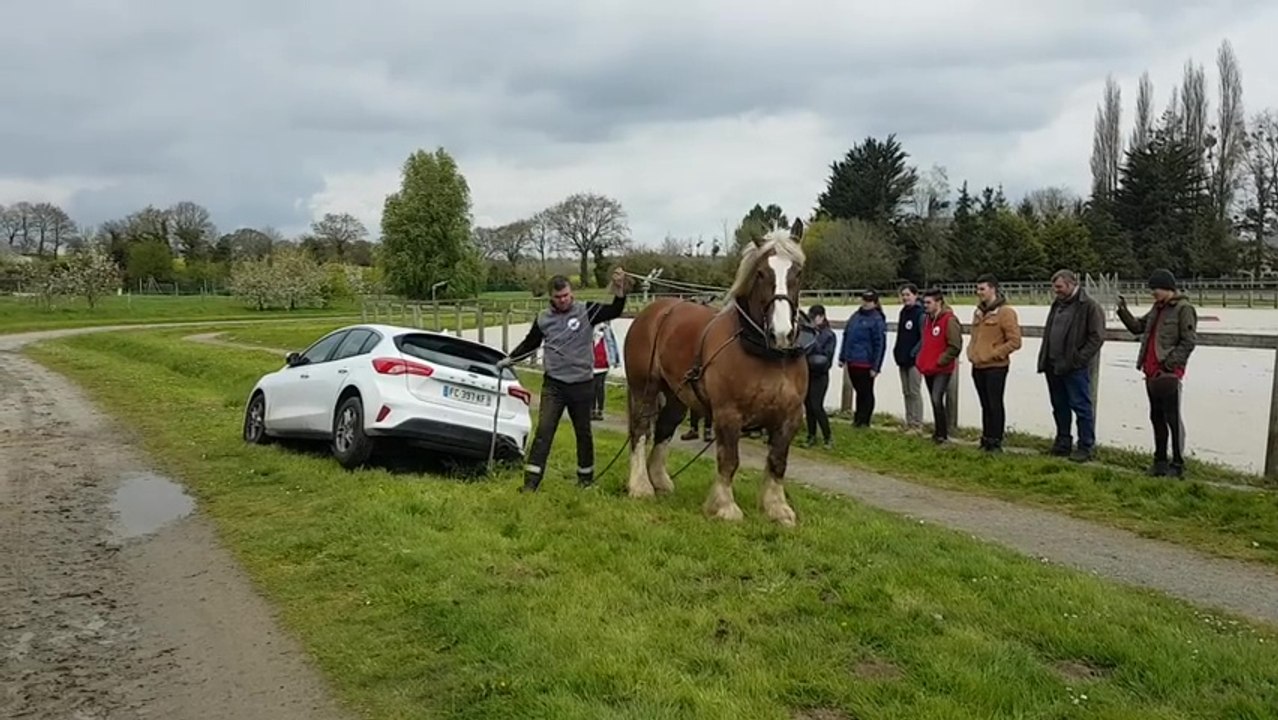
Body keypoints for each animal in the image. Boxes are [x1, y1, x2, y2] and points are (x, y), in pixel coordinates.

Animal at [623, 217, 810, 526]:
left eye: (797, 272)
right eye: (761, 273)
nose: (781, 333)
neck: (768, 354)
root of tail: (655, 309)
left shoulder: (790, 416)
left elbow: (777, 462)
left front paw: (776, 507)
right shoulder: (728, 413)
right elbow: (729, 460)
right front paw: (724, 506)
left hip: (677, 396)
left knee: (664, 429)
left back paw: (660, 480)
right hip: (644, 389)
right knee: (641, 430)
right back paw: (640, 485)